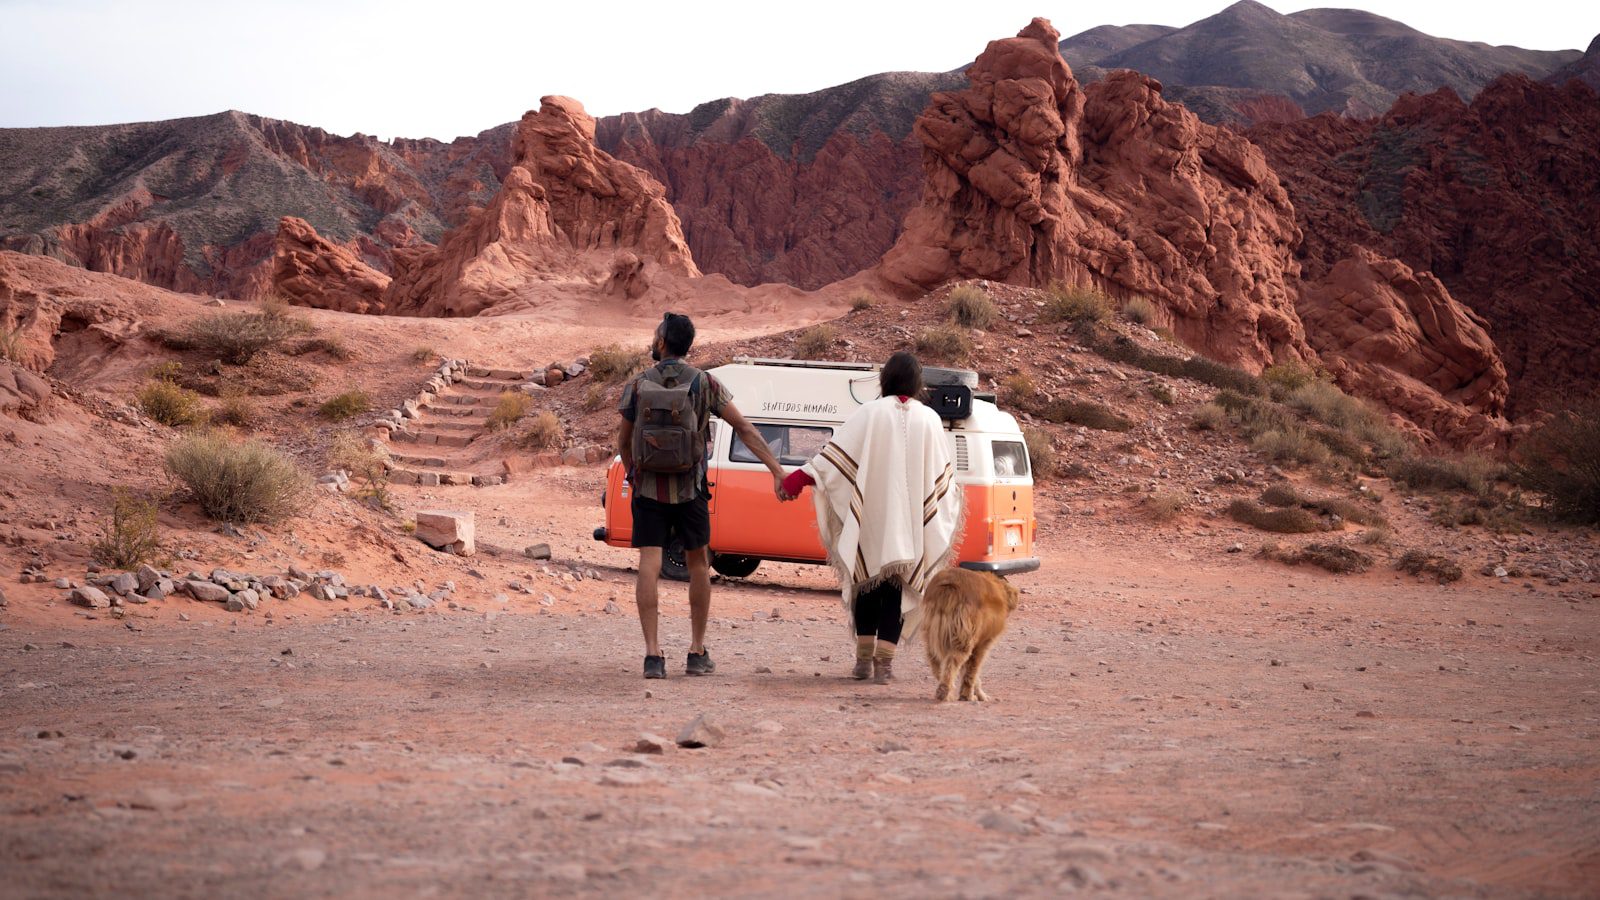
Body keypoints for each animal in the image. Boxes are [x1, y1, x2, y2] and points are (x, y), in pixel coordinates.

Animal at [915, 566, 1011, 701]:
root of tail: (950, 585)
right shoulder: (982, 644)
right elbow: (972, 672)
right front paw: (971, 695)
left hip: (931, 635)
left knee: (936, 663)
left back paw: (946, 691)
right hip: (963, 638)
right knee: (952, 663)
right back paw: (946, 691)